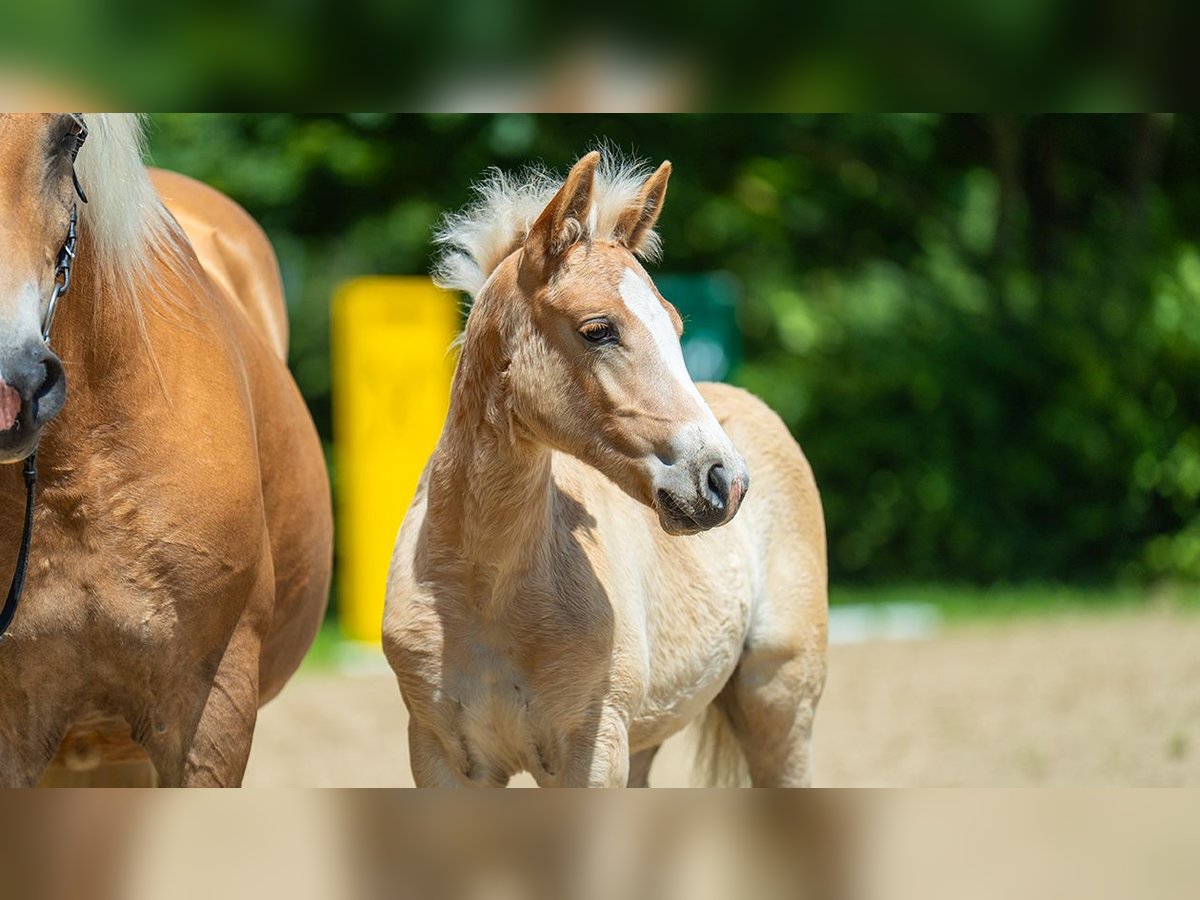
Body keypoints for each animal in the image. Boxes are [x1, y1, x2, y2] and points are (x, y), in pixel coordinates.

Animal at [384, 151, 825, 787]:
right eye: (598, 329)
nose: (724, 481)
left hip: (780, 699)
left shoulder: (592, 748)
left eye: (676, 327)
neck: (483, 593)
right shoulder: (442, 756)